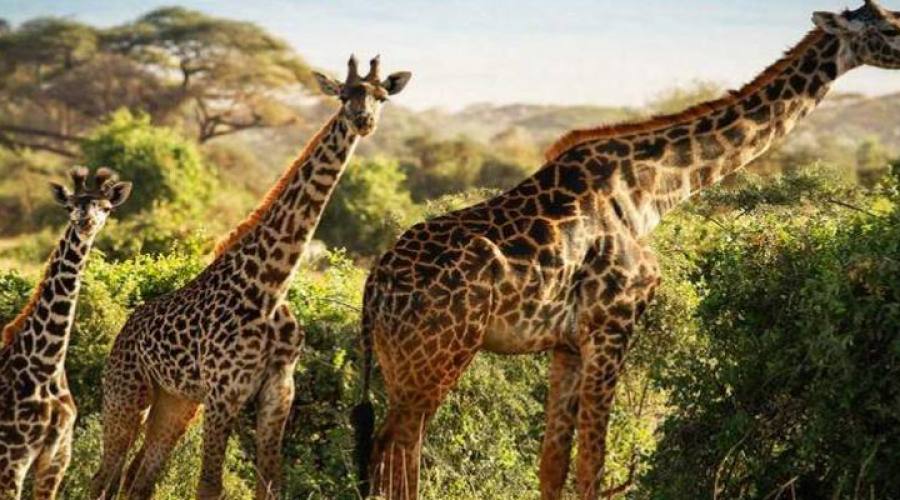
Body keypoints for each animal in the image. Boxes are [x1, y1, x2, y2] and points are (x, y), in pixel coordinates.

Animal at [1, 168, 132, 500]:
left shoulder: (56, 460)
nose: (85, 221)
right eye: (71, 205)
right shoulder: (12, 459)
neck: (46, 363)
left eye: (106, 208)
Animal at [90, 56, 410, 500]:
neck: (271, 285)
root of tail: (121, 333)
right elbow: (209, 486)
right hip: (127, 397)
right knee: (102, 476)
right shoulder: (225, 393)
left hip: (174, 403)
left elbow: (270, 484)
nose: (364, 121)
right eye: (345, 95)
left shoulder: (279, 391)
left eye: (381, 96)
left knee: (139, 481)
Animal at [353, 2, 900, 498]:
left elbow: (552, 467)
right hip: (440, 354)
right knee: (395, 451)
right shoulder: (613, 325)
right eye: (891, 27)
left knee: (391, 452)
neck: (648, 191)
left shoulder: (567, 343)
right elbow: (592, 465)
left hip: (400, 362)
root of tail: (373, 289)